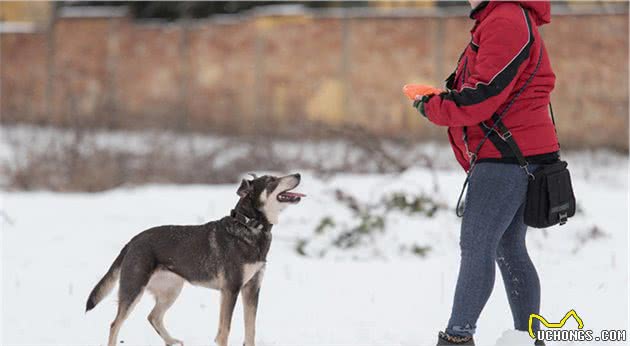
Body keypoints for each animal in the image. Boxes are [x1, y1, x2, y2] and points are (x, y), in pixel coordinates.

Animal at [86, 173, 306, 346]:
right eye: (271, 180)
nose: (298, 174)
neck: (249, 226)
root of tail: (132, 241)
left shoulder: (252, 289)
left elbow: (250, 331)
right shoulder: (231, 290)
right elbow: (224, 331)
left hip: (172, 290)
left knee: (153, 317)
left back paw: (172, 341)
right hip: (133, 290)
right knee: (115, 324)